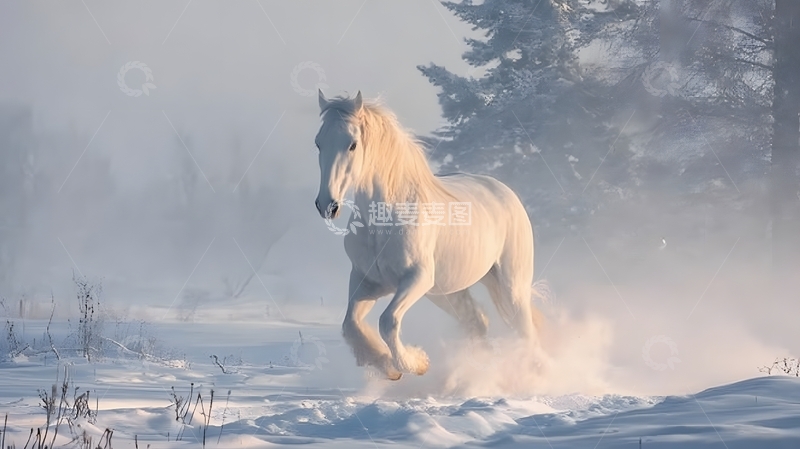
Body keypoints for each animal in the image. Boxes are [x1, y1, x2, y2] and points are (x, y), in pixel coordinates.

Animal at [313, 90, 543, 380]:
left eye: (352, 145)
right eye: (318, 143)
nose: (327, 205)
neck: (385, 220)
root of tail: (505, 192)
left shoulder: (417, 278)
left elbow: (388, 321)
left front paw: (417, 363)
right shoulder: (367, 282)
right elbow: (351, 325)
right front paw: (388, 367)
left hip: (511, 286)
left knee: (525, 332)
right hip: (445, 292)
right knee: (477, 322)